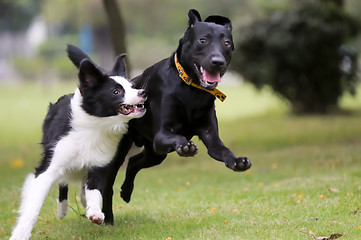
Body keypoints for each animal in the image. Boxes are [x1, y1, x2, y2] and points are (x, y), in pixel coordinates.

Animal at [10, 45, 146, 240]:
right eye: (116, 91)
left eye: (132, 87)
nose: (143, 92)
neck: (96, 126)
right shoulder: (48, 167)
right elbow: (33, 206)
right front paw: (20, 233)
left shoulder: (100, 165)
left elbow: (95, 190)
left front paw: (95, 212)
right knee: (63, 182)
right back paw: (62, 208)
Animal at [85, 8, 250, 224]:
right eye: (203, 40)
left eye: (227, 43)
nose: (218, 62)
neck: (191, 90)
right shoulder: (163, 134)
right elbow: (178, 138)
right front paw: (186, 147)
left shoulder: (210, 135)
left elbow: (222, 150)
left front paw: (237, 161)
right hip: (120, 152)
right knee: (108, 184)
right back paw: (108, 218)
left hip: (155, 154)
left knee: (134, 161)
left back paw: (126, 192)